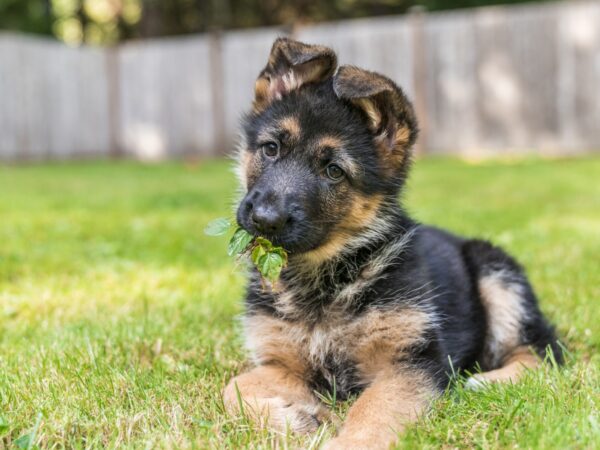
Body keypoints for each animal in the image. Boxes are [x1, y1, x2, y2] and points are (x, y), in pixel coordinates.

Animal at [221, 38, 564, 450]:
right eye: (271, 148)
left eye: (333, 171)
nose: (264, 219)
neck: (325, 278)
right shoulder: (281, 361)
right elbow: (233, 388)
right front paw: (297, 419)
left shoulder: (412, 363)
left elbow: (374, 411)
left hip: (496, 274)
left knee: (544, 352)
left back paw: (488, 381)